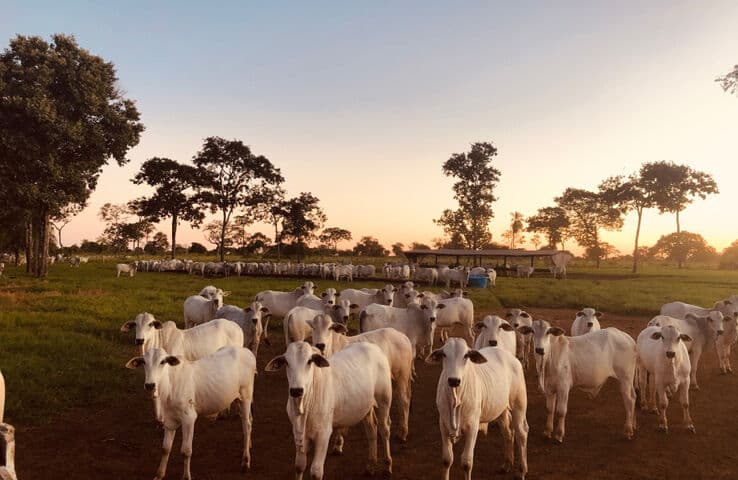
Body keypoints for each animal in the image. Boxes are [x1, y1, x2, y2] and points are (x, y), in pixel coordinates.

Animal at [123, 346, 256, 478]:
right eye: (143, 362)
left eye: (162, 361)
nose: (150, 385)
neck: (170, 386)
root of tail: (247, 352)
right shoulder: (169, 420)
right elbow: (165, 448)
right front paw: (159, 475)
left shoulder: (189, 418)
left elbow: (186, 451)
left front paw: (186, 476)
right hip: (238, 398)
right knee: (249, 420)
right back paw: (248, 445)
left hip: (246, 396)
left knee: (247, 426)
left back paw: (245, 461)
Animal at [264, 342, 392, 480]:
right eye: (286, 362)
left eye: (309, 361)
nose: (296, 390)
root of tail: (373, 346)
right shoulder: (298, 433)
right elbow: (299, 466)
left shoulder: (324, 434)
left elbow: (316, 472)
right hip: (365, 407)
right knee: (371, 430)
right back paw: (370, 466)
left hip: (383, 401)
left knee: (384, 430)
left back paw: (387, 466)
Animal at [422, 338, 528, 480]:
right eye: (444, 354)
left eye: (466, 355)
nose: (454, 380)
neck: (456, 399)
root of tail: (510, 357)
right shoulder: (443, 425)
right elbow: (446, 460)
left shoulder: (472, 427)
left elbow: (466, 463)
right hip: (500, 410)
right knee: (508, 433)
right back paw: (506, 465)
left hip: (519, 404)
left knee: (521, 433)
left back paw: (522, 471)